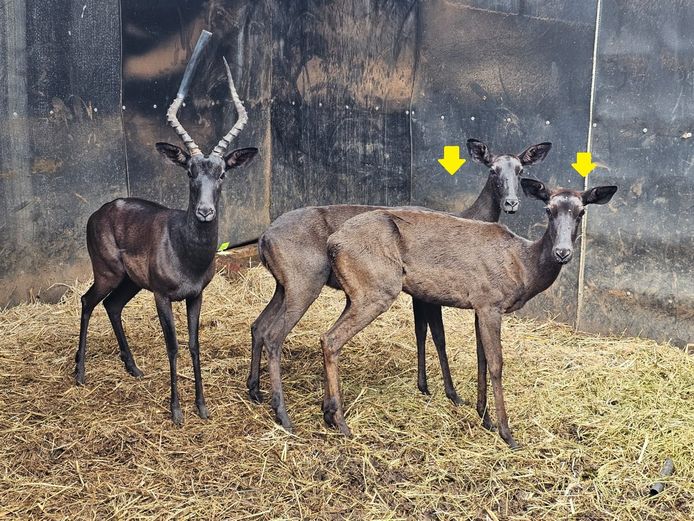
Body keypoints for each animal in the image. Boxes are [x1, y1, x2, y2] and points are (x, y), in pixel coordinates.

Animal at [74, 53, 258, 425]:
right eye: (189, 171)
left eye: (222, 173)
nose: (205, 211)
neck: (185, 250)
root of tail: (100, 211)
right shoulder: (162, 297)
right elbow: (172, 347)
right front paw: (176, 411)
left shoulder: (196, 296)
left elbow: (193, 344)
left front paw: (202, 407)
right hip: (108, 274)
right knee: (87, 301)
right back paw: (80, 372)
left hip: (130, 282)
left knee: (112, 306)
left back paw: (133, 368)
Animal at [249, 140, 552, 430]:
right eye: (493, 170)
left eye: (520, 170)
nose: (511, 203)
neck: (468, 217)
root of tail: (263, 239)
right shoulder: (429, 295)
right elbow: (437, 336)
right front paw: (451, 394)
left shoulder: (421, 294)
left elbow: (423, 333)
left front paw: (427, 387)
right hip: (305, 282)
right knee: (276, 335)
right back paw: (285, 415)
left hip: (283, 287)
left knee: (259, 326)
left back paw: (255, 391)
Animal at [321, 179, 617, 447]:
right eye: (548, 209)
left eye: (581, 211)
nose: (562, 252)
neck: (524, 267)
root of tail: (333, 243)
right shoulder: (490, 302)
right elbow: (496, 363)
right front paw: (506, 433)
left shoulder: (479, 305)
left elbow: (481, 358)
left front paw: (484, 417)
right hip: (377, 288)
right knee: (332, 339)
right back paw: (342, 423)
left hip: (356, 292)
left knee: (325, 336)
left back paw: (327, 412)